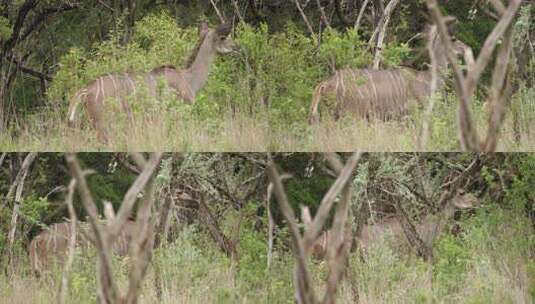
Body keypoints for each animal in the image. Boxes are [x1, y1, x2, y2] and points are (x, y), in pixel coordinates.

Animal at [308, 21, 472, 123]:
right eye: (453, 39)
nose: (466, 48)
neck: (427, 78)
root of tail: (324, 84)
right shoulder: (411, 112)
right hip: (353, 113)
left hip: (332, 114)